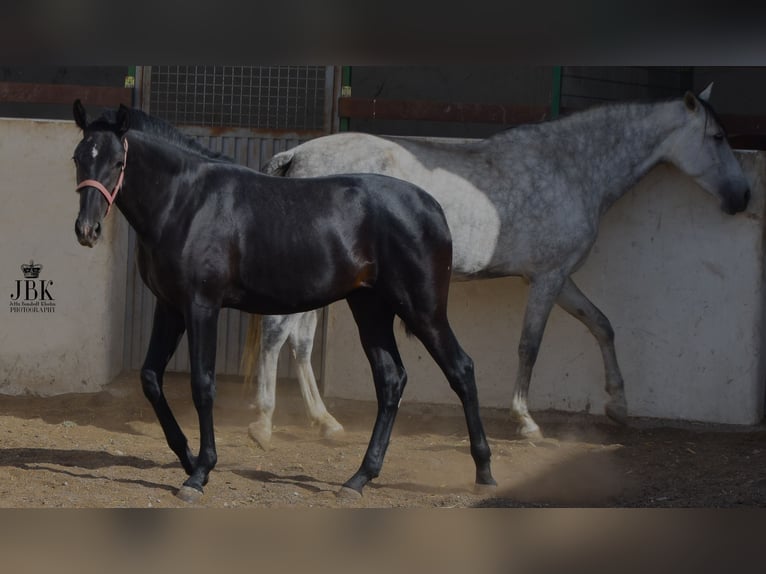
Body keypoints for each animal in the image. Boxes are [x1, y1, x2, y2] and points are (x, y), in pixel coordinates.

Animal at [72, 101, 498, 502]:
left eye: (118, 162)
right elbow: (150, 378)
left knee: (461, 370)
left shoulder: (201, 307)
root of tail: (432, 207)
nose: (87, 230)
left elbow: (203, 385)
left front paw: (199, 473)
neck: (188, 204)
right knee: (391, 380)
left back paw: (484, 473)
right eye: (78, 158)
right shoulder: (170, 306)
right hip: (370, 309)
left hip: (423, 309)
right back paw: (358, 479)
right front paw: (189, 459)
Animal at [244, 84, 752, 446]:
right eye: (718, 137)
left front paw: (618, 405)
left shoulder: (559, 277)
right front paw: (526, 421)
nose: (743, 197)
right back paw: (264, 423)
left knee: (299, 340)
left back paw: (324, 422)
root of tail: (297, 154)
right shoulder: (547, 279)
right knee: (278, 332)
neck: (571, 168)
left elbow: (602, 325)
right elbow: (530, 345)